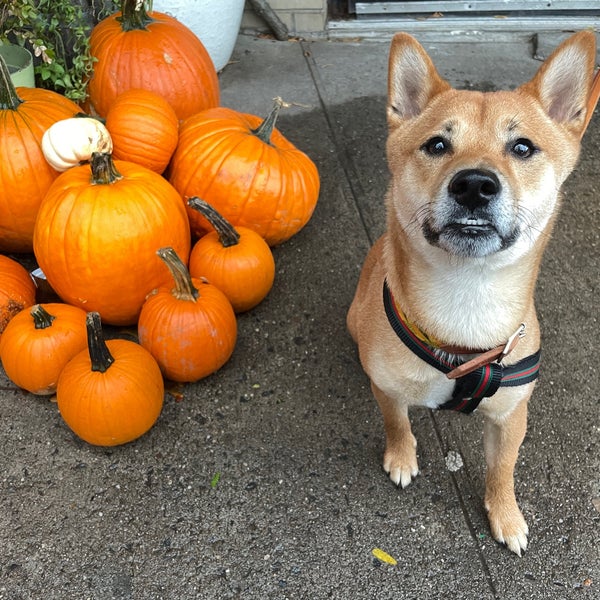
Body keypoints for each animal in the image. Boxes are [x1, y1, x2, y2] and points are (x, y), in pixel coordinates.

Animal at [350, 32, 596, 556]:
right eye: (437, 144)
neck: (467, 297)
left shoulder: (511, 417)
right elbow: (397, 423)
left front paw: (505, 514)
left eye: (522, 146)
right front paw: (401, 457)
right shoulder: (388, 389)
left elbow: (502, 468)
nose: (475, 184)